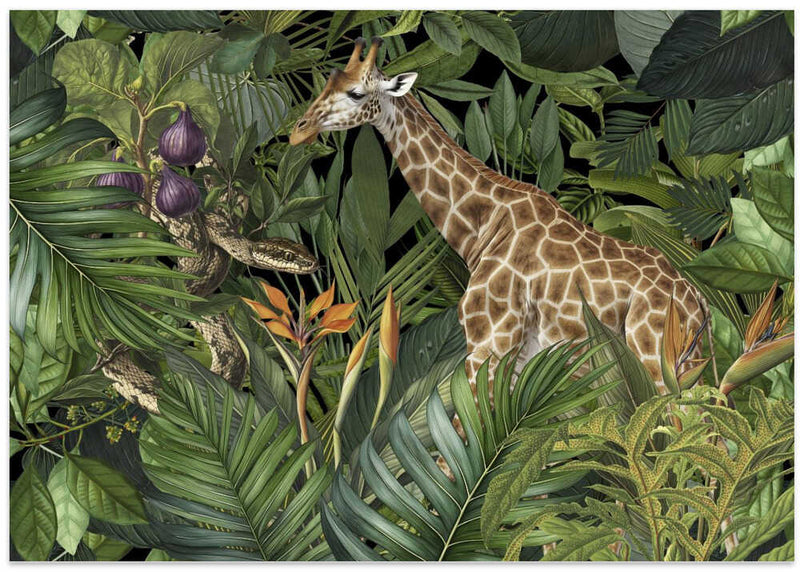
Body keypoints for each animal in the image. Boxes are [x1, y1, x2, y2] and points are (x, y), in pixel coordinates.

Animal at [290, 37, 708, 396]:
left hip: (654, 361)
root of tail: (699, 304)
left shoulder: (489, 341)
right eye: (328, 81)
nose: (298, 131)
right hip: (692, 365)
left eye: (356, 93)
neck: (484, 226)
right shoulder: (521, 357)